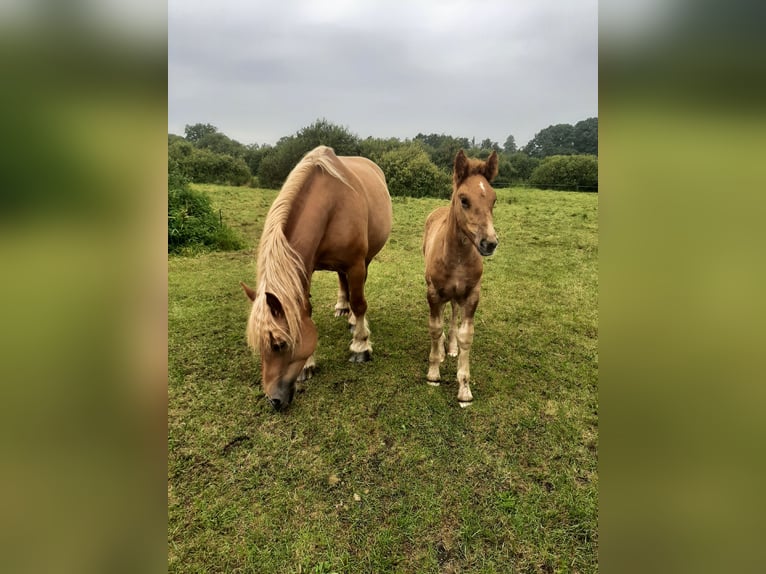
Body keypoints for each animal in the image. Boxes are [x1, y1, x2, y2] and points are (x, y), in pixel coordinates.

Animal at [243, 146, 392, 412]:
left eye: (279, 344)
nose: (274, 400)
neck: (331, 205)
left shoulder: (356, 263)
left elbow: (360, 303)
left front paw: (361, 346)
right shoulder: (305, 268)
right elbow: (306, 312)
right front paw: (308, 365)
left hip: (364, 261)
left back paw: (354, 322)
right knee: (343, 282)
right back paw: (343, 308)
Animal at [424, 151, 500, 408]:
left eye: (494, 200)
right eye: (464, 199)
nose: (489, 243)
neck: (456, 258)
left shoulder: (472, 294)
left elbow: (466, 335)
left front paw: (464, 389)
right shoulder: (433, 292)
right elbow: (435, 327)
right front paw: (433, 374)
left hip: (458, 295)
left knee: (454, 312)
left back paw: (452, 347)